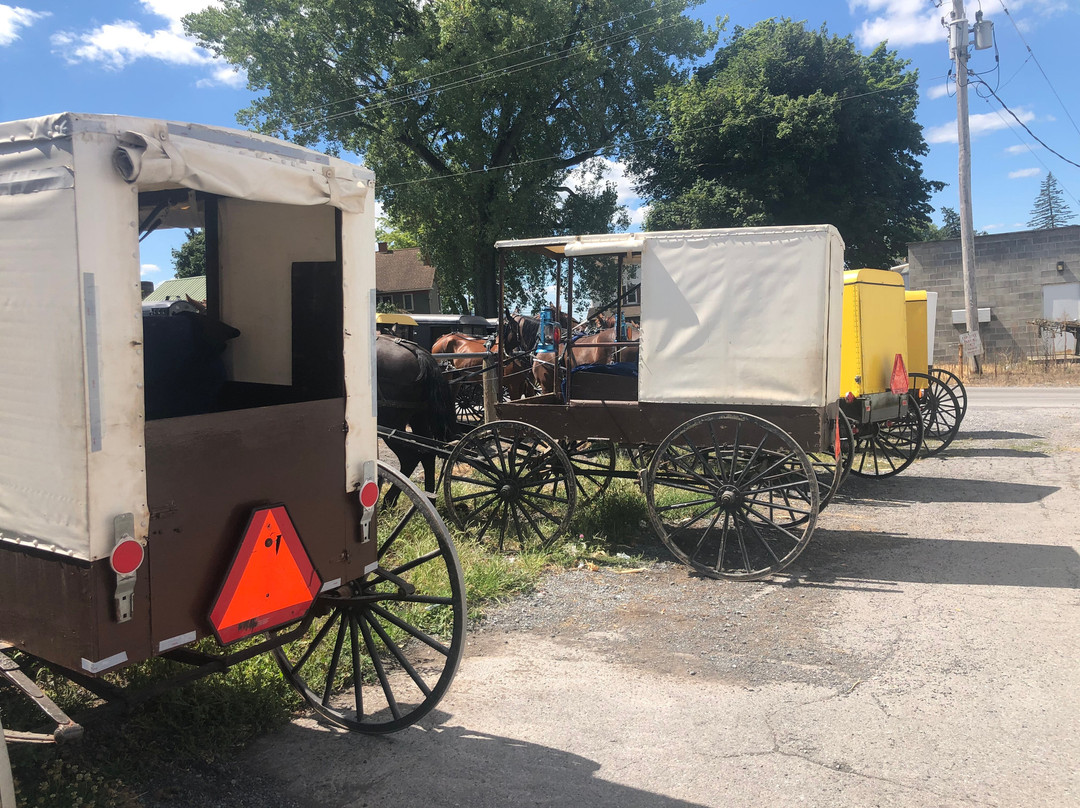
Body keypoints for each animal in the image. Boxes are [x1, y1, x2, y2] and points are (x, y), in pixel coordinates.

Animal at [375, 332, 455, 499]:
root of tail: (418, 353)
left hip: (391, 424)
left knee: (410, 458)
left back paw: (389, 500)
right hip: (419, 418)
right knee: (427, 454)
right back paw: (430, 498)